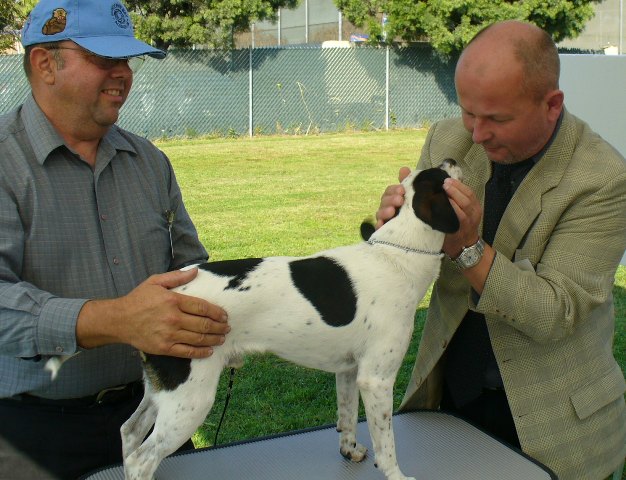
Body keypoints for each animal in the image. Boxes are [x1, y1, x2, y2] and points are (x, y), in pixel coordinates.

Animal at [118, 159, 458, 478]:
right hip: (190, 399)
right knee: (141, 459)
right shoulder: (376, 379)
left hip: (162, 390)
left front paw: (349, 449)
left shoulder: (349, 371)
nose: (453, 159)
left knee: (129, 432)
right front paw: (396, 474)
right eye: (442, 173)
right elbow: (386, 444)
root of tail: (163, 292)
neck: (398, 255)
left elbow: (347, 416)